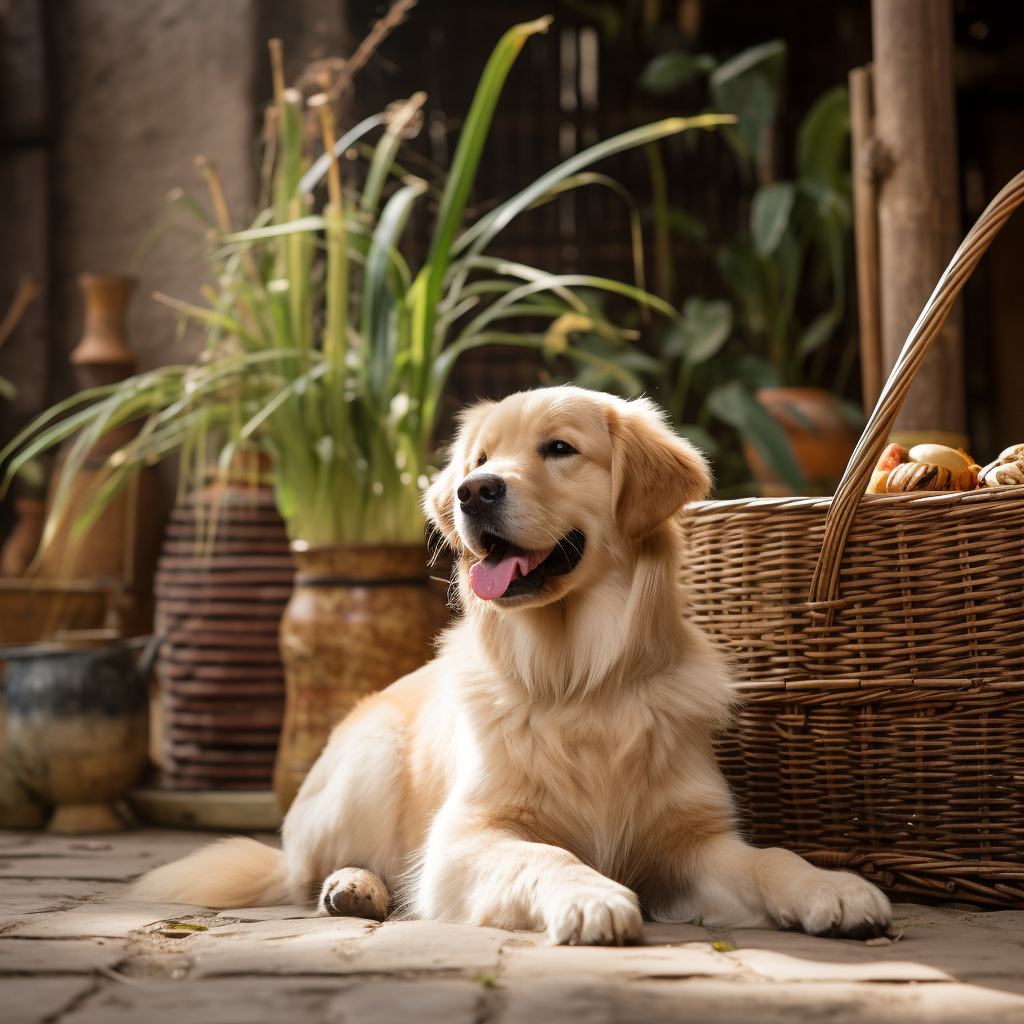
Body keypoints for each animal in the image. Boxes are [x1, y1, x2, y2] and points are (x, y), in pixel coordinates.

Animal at [134, 385, 888, 942]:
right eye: (480, 458)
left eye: (559, 449)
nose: (474, 491)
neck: (580, 678)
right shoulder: (467, 837)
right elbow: (547, 852)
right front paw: (591, 896)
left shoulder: (689, 843)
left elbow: (771, 858)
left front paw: (830, 887)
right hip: (369, 759)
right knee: (311, 873)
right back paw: (353, 886)